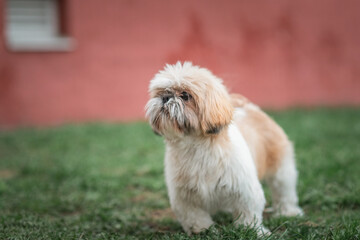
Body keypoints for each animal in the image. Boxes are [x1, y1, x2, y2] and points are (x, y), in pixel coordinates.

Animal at [145, 61, 302, 235]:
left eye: (185, 95)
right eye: (161, 93)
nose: (165, 98)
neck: (196, 147)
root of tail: (250, 108)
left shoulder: (244, 188)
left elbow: (248, 212)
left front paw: (252, 230)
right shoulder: (184, 196)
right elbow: (194, 216)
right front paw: (203, 231)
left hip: (281, 169)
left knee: (283, 189)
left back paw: (288, 211)